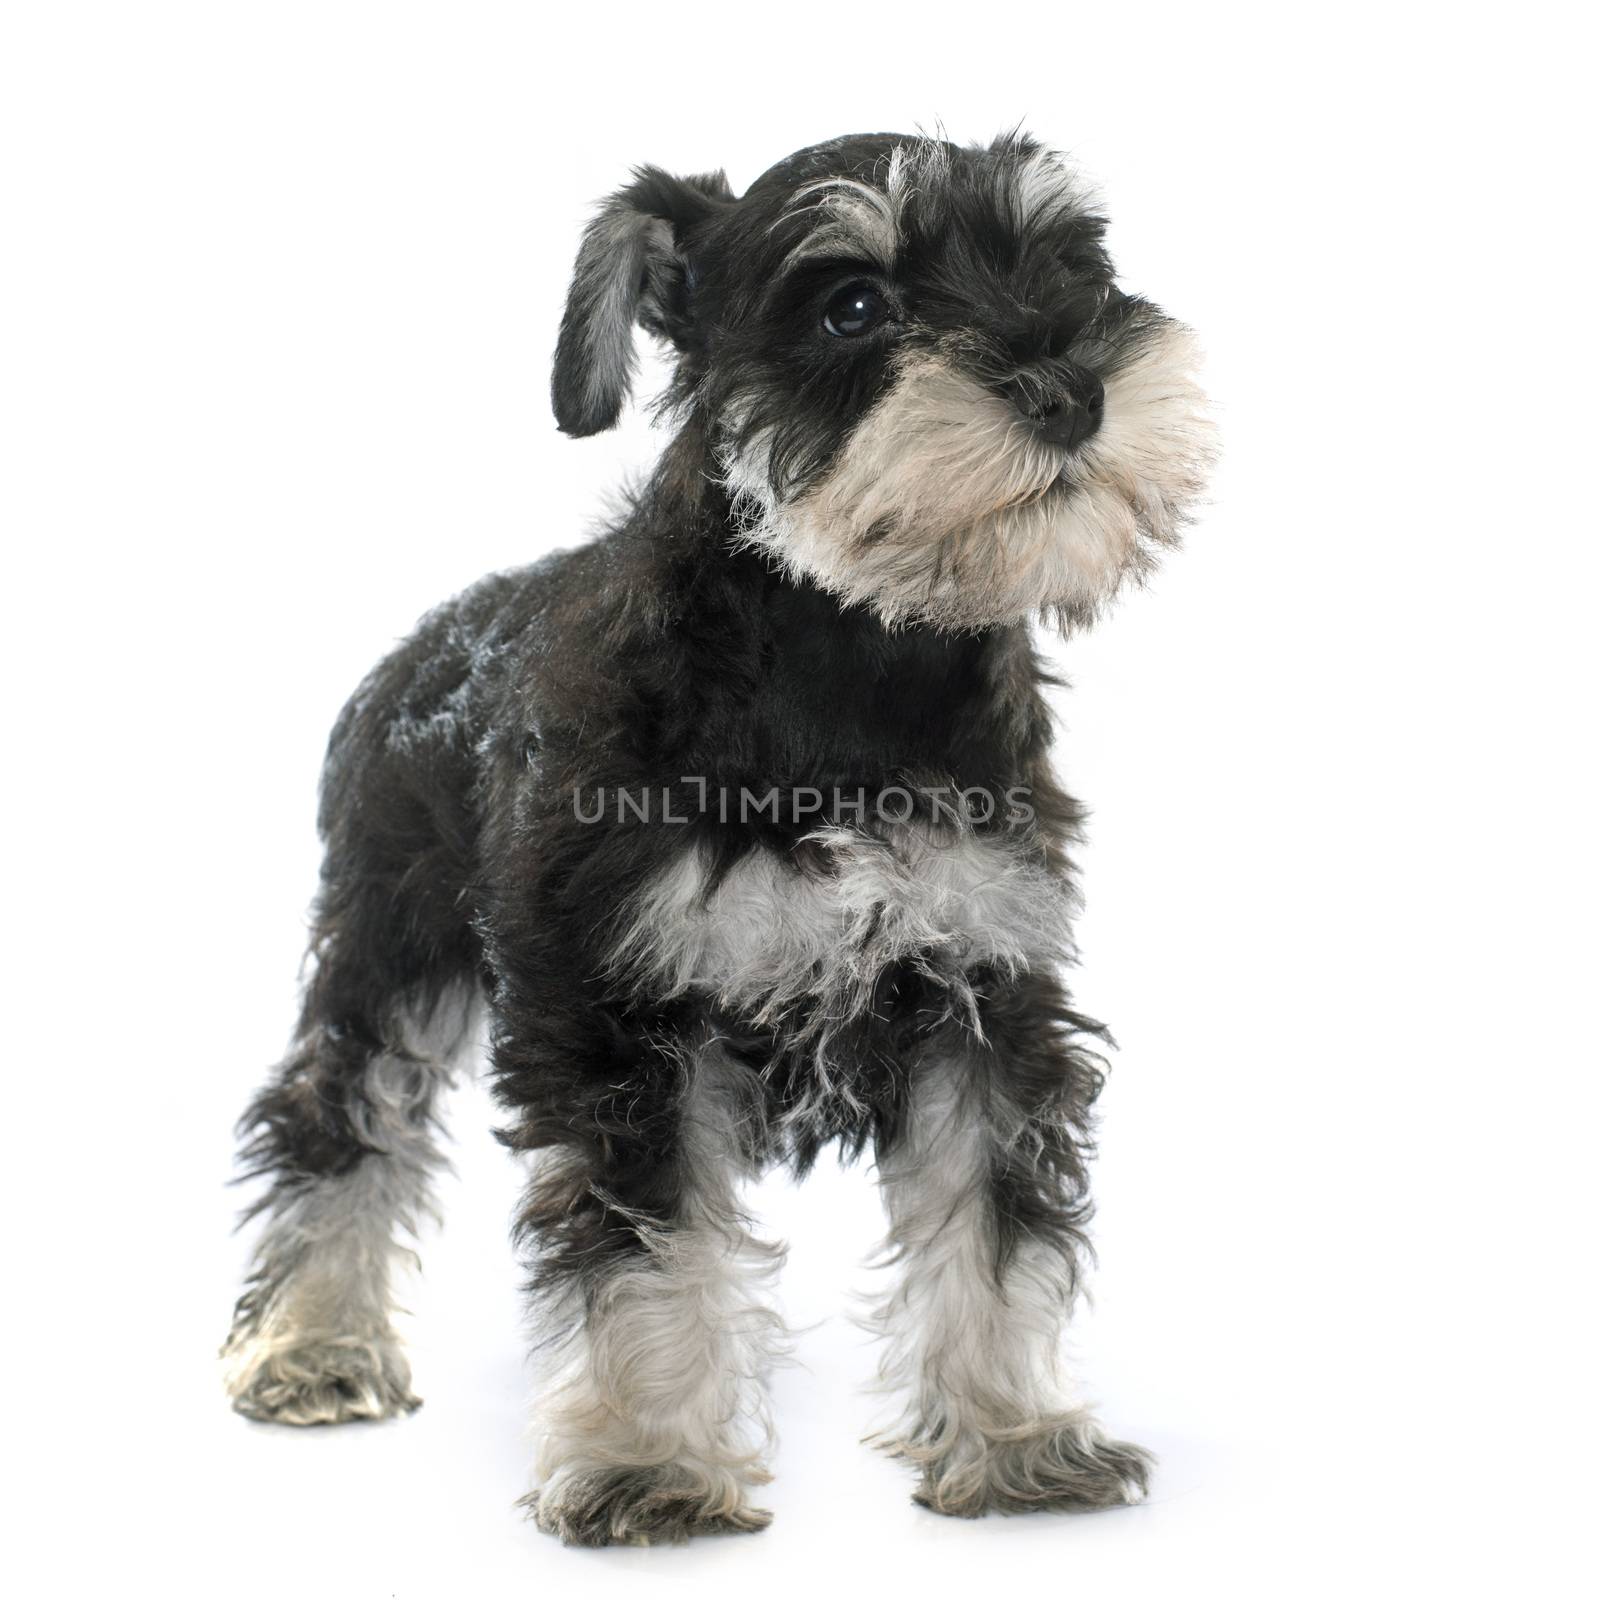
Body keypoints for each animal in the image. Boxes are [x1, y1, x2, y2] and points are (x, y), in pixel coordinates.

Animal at [219, 131, 1203, 1542]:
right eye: (852, 304)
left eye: (1073, 263)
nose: (1071, 388)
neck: (850, 657)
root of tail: (426, 642)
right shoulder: (624, 1021)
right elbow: (651, 1247)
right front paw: (647, 1460)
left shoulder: (986, 993)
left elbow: (991, 1226)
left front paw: (1013, 1437)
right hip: (389, 950)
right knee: (336, 1121)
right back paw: (311, 1341)